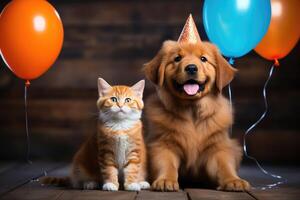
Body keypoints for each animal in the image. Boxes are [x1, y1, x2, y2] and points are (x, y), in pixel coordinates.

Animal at [143, 39, 251, 191]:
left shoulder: (218, 146)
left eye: (203, 59)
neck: (192, 110)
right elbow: (166, 164)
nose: (191, 68)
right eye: (177, 58)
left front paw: (233, 180)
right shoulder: (163, 144)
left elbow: (224, 165)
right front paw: (165, 179)